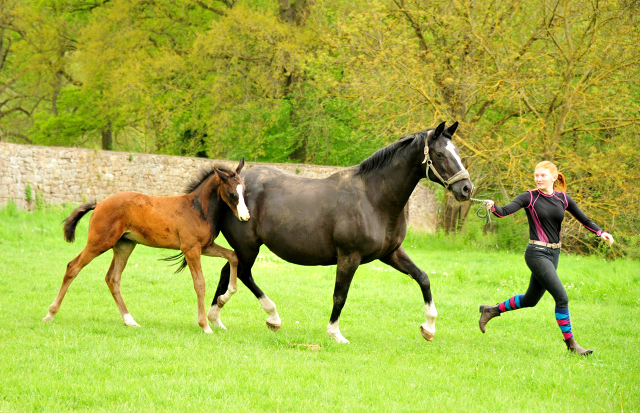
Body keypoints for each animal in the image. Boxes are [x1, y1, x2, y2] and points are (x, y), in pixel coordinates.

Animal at [42, 158, 248, 332]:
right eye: (231, 193)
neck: (197, 208)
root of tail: (99, 204)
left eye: (244, 191)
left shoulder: (205, 247)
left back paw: (129, 320)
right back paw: (50, 314)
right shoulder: (191, 249)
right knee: (73, 267)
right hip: (99, 242)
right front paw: (205, 326)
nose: (245, 217)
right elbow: (200, 284)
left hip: (124, 245)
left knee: (112, 278)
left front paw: (224, 297)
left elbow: (233, 255)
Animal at [211, 120, 476, 340]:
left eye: (457, 152)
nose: (466, 188)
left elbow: (423, 278)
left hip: (244, 249)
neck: (373, 198)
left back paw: (216, 317)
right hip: (248, 247)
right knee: (243, 274)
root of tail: (228, 184)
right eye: (440, 154)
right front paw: (335, 333)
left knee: (228, 271)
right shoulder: (349, 256)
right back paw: (271, 317)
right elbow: (340, 294)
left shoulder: (391, 253)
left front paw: (429, 327)